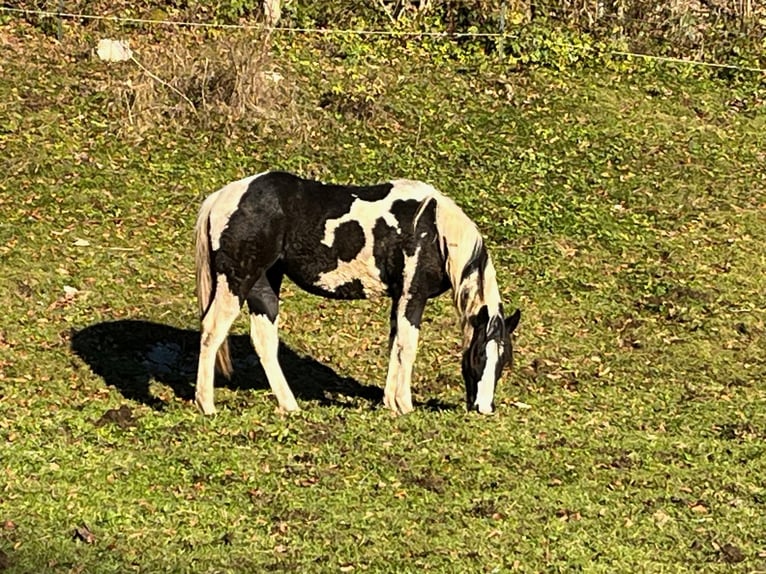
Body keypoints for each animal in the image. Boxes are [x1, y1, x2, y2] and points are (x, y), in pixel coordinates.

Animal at [195, 172, 524, 418]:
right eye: (479, 354)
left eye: (504, 359)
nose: (484, 408)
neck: (434, 229)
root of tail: (221, 197)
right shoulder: (412, 295)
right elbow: (408, 347)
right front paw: (405, 405)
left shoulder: (399, 298)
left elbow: (395, 346)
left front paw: (390, 402)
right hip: (237, 281)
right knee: (213, 330)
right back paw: (207, 404)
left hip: (264, 284)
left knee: (264, 340)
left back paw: (290, 405)